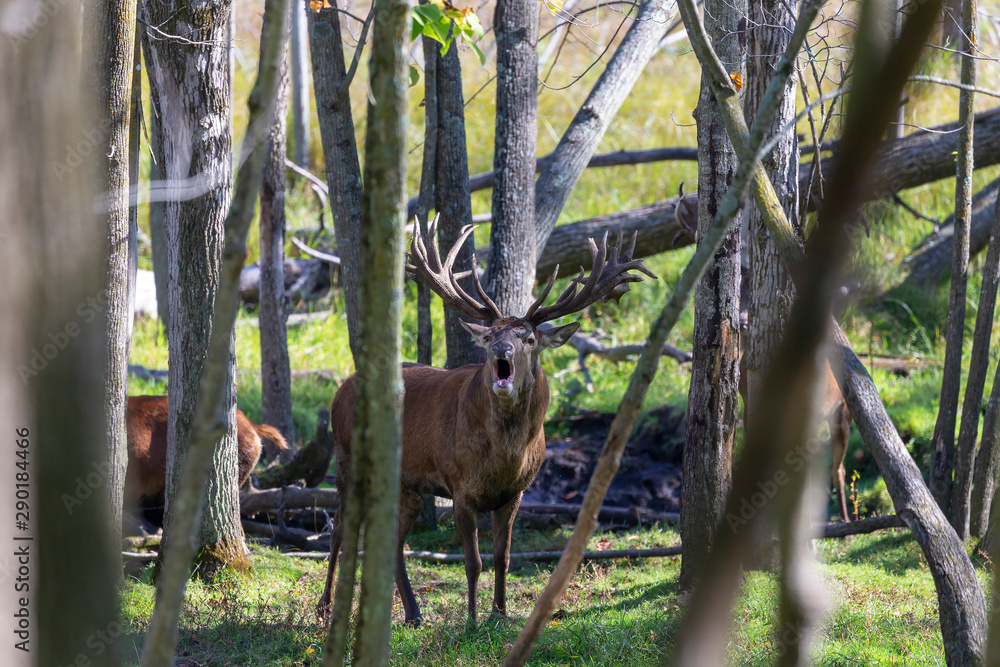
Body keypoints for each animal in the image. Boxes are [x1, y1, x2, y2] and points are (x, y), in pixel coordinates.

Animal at [320, 223, 656, 628]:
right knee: (339, 529)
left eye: (529, 337)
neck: (505, 457)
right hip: (345, 456)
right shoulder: (460, 488)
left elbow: (502, 558)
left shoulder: (515, 493)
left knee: (392, 540)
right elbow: (473, 561)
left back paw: (413, 614)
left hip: (408, 486)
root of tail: (340, 390)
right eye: (491, 335)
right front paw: (471, 621)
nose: (502, 351)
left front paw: (500, 614)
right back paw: (325, 608)